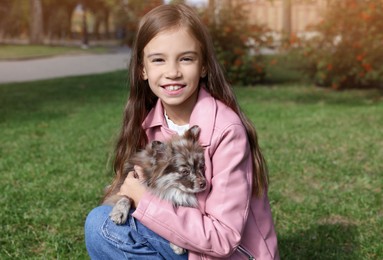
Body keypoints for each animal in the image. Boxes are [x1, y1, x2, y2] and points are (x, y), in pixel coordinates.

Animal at [103, 125, 207, 255]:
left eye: (201, 167)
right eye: (185, 172)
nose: (204, 183)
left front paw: (177, 243)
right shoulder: (121, 188)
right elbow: (125, 197)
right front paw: (119, 212)